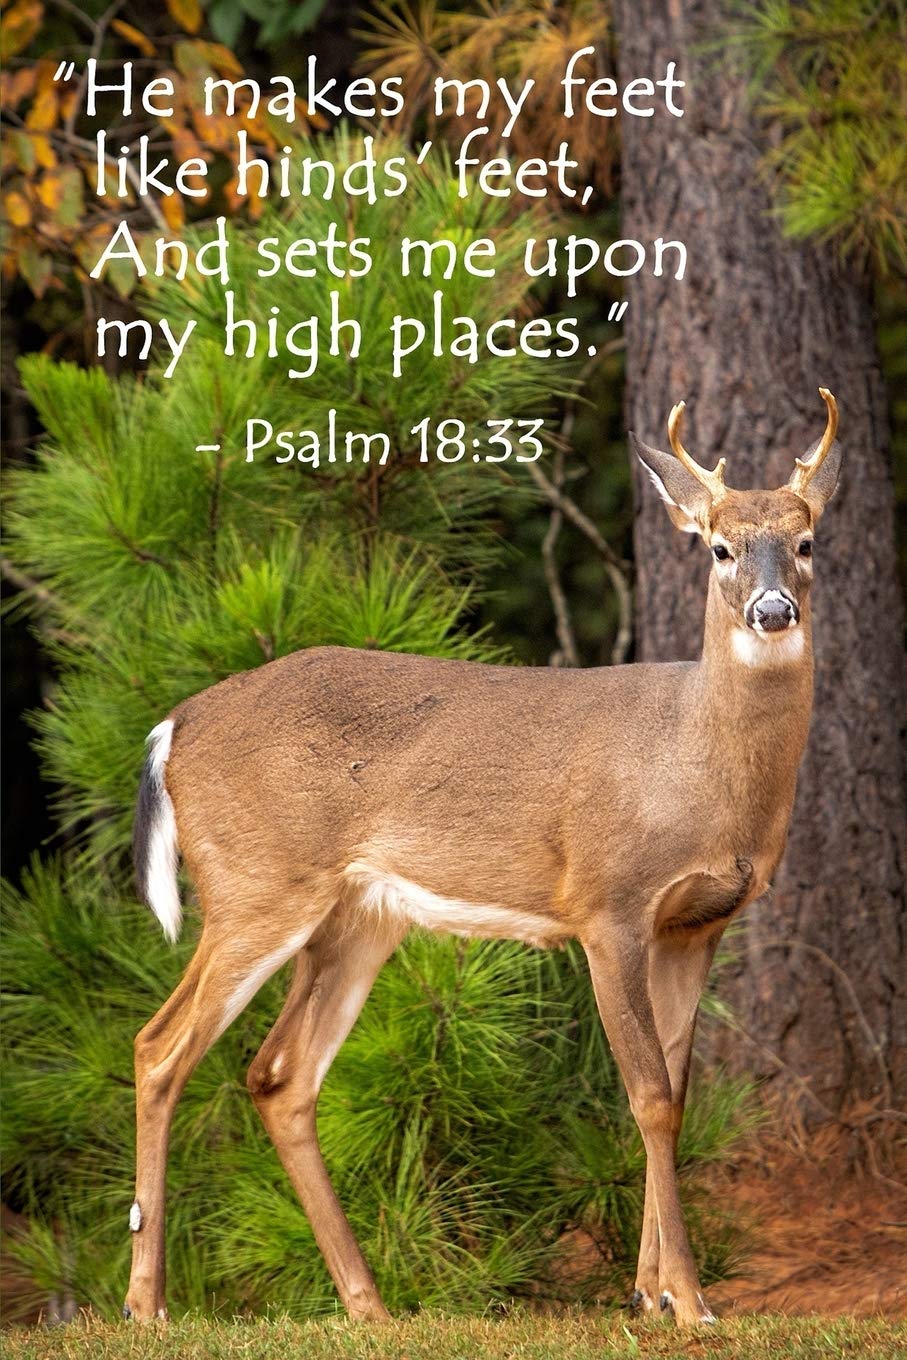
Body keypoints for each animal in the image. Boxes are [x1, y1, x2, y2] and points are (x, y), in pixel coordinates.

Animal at [126, 389, 841, 1329]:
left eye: (805, 542)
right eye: (718, 546)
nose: (770, 610)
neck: (694, 764)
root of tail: (171, 729)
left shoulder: (696, 925)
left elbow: (676, 1095)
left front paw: (646, 1291)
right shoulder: (607, 904)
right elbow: (648, 1097)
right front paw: (687, 1301)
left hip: (356, 918)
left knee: (279, 1074)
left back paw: (368, 1305)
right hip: (257, 884)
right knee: (159, 1047)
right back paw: (146, 1304)